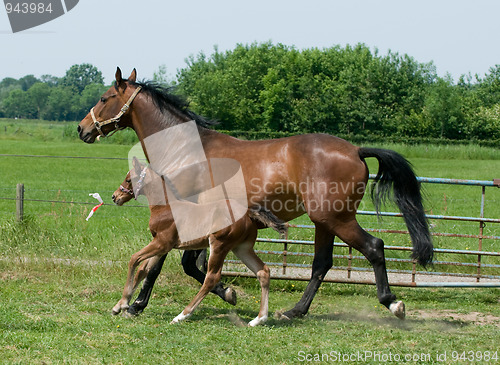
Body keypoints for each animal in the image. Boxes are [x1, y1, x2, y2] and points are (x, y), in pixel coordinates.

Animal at [111, 159, 288, 324]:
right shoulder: (162, 246)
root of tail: (247, 213)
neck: (165, 207)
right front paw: (119, 306)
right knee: (263, 271)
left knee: (211, 278)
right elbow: (143, 269)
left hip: (219, 245)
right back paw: (259, 319)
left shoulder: (162, 243)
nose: (115, 197)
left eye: (128, 179)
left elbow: (134, 259)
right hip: (241, 248)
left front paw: (124, 304)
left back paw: (182, 315)